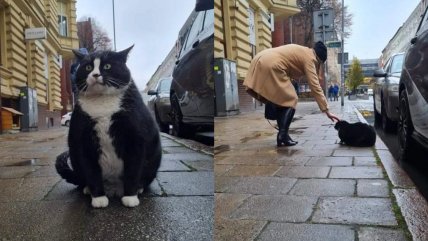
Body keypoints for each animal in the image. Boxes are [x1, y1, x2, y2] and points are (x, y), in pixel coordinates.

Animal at [55, 46, 162, 208]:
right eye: (88, 67)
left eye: (107, 66)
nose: (95, 74)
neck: (102, 102)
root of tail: (114, 189)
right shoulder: (83, 140)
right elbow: (91, 170)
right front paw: (98, 198)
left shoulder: (136, 139)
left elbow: (133, 169)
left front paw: (130, 196)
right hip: (74, 155)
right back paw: (87, 189)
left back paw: (139, 188)